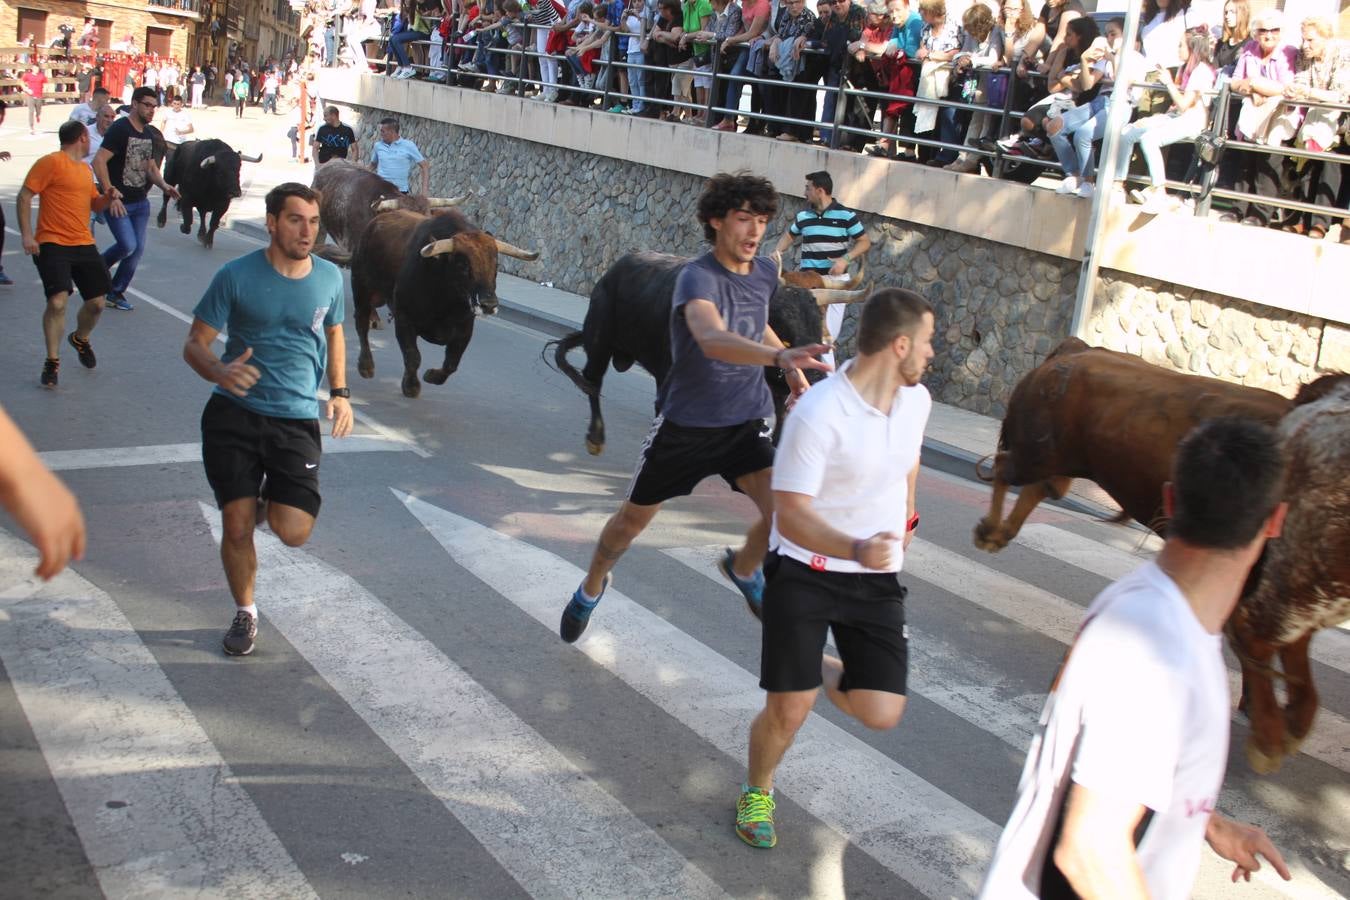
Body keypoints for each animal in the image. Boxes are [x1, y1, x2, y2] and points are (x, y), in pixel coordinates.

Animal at [545, 252, 864, 458]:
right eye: (784, 334)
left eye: (820, 333)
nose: (816, 381)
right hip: (600, 341)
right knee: (592, 382)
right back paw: (595, 438)